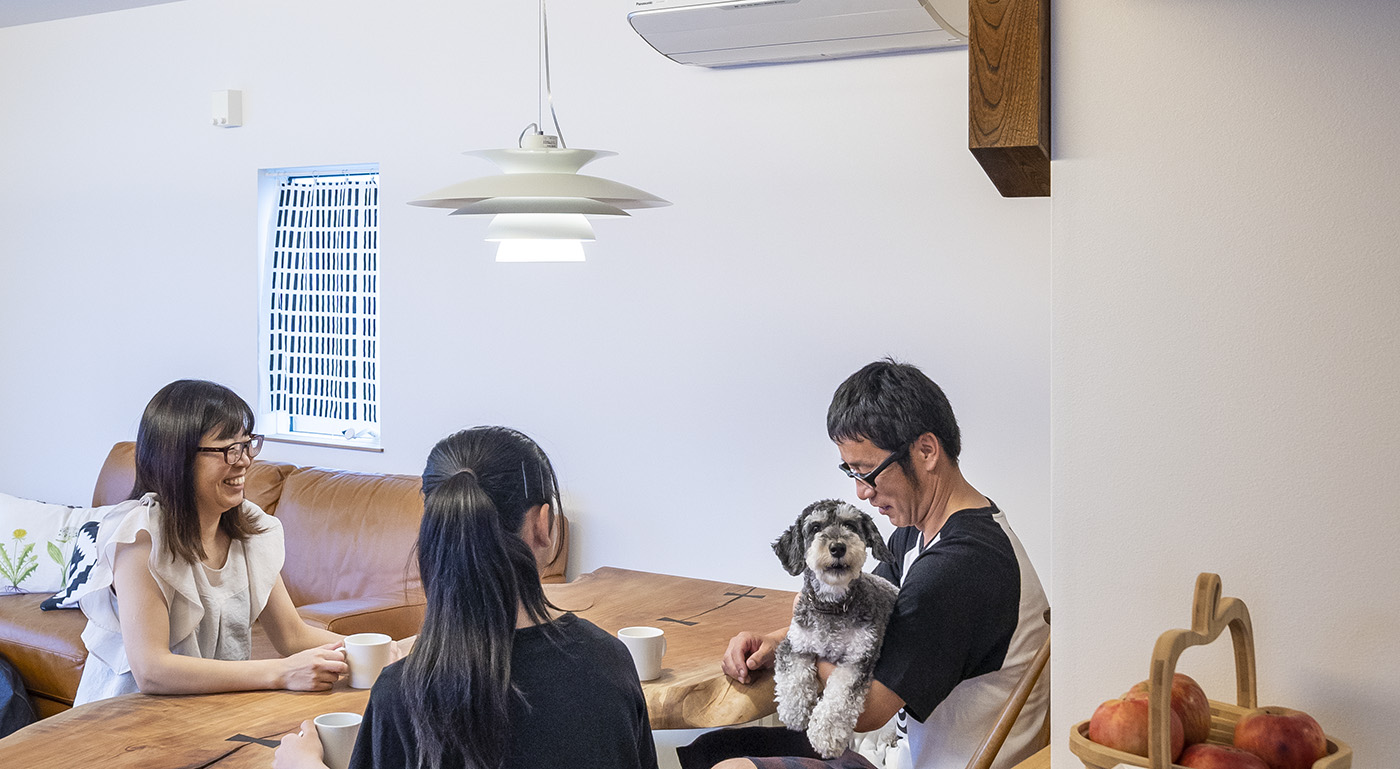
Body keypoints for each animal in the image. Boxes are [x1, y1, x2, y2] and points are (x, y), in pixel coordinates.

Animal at [772, 499, 899, 759]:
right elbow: (793, 678)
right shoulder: (795, 645)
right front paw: (794, 712)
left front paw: (826, 736)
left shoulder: (858, 659)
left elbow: (839, 699)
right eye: (815, 527)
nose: (838, 547)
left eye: (850, 525)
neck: (832, 606)